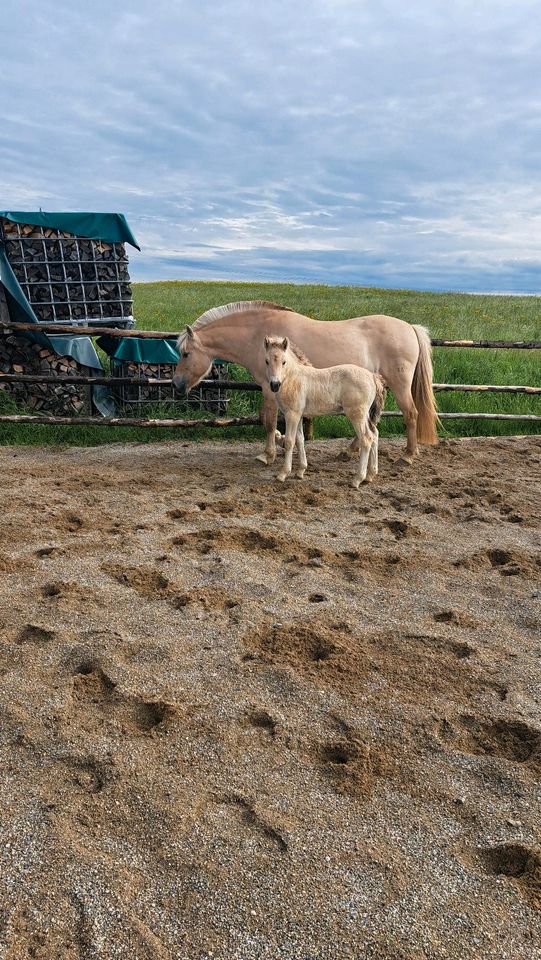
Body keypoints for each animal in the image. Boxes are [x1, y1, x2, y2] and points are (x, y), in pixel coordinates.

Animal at [173, 302, 438, 464]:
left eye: (185, 353)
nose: (176, 384)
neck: (258, 336)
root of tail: (410, 327)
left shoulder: (269, 387)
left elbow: (268, 419)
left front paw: (268, 454)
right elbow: (267, 418)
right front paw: (280, 441)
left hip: (399, 385)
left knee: (410, 414)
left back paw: (408, 455)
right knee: (371, 423)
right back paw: (348, 451)